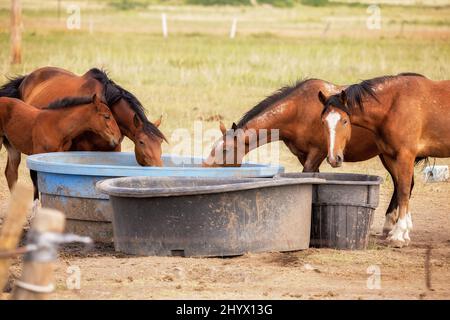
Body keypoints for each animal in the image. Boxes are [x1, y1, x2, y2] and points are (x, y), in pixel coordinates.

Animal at [206, 78, 414, 232]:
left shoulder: (317, 153)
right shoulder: (304, 155)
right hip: (387, 155)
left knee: (404, 184)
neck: (299, 110)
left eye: (225, 150)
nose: (206, 167)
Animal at [318, 72, 448, 248]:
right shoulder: (391, 156)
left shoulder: (405, 155)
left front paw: (399, 235)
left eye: (344, 121)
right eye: (323, 122)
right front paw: (403, 232)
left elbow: (403, 191)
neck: (393, 104)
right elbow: (401, 188)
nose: (333, 158)